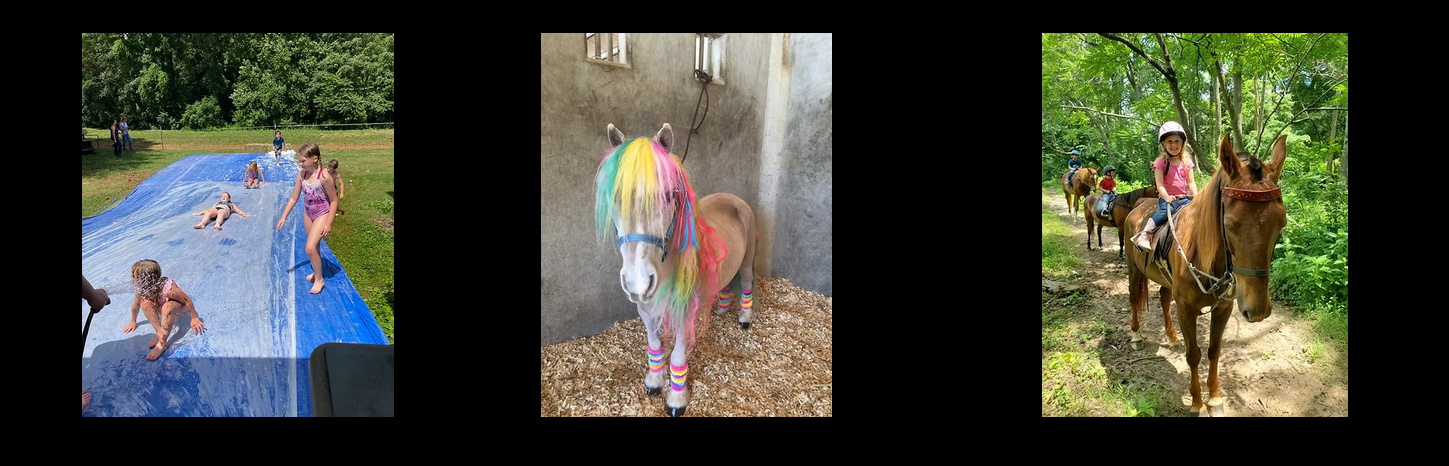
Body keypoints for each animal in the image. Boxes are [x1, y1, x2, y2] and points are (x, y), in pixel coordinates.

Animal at [594, 123, 759, 417]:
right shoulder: (645, 310)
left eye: (669, 195)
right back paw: (722, 308)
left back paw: (744, 318)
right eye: (616, 197)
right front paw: (654, 382)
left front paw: (676, 400)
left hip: (748, 260)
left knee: (747, 284)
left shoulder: (685, 314)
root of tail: (734, 198)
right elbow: (655, 345)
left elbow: (678, 355)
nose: (637, 283)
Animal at [1123, 133, 1288, 417]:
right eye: (1229, 224)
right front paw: (1198, 404)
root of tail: (1137, 207)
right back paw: (1135, 336)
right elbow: (1194, 355)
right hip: (1134, 270)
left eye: (1282, 223)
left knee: (1164, 299)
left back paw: (1172, 338)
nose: (1258, 310)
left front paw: (1215, 399)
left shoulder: (1223, 308)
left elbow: (1213, 351)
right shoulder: (1186, 309)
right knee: (1135, 299)